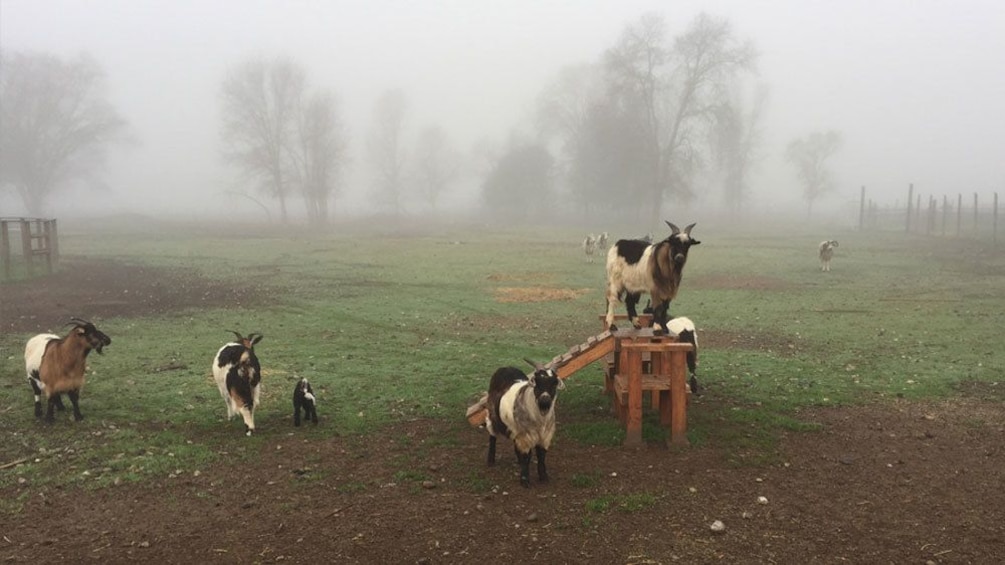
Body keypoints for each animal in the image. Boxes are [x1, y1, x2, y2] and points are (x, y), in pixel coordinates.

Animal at [486, 357, 566, 486]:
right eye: (537, 381)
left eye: (554, 382)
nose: (545, 401)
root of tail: (506, 367)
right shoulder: (526, 435)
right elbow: (526, 456)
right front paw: (524, 480)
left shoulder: (545, 436)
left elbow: (541, 455)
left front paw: (543, 476)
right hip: (492, 414)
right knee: (492, 434)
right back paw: (490, 460)